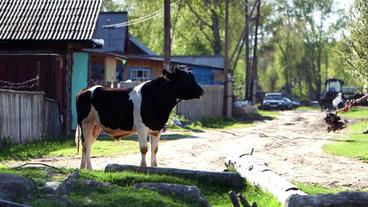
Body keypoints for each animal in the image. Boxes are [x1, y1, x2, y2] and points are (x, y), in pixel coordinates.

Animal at [75, 65, 204, 169]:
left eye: (193, 77)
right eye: (185, 79)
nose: (201, 91)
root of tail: (87, 89)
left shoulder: (157, 129)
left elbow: (155, 149)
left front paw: (154, 168)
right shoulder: (141, 128)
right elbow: (144, 148)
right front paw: (143, 168)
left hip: (95, 127)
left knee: (87, 145)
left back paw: (83, 168)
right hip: (86, 123)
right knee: (86, 146)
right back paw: (89, 169)